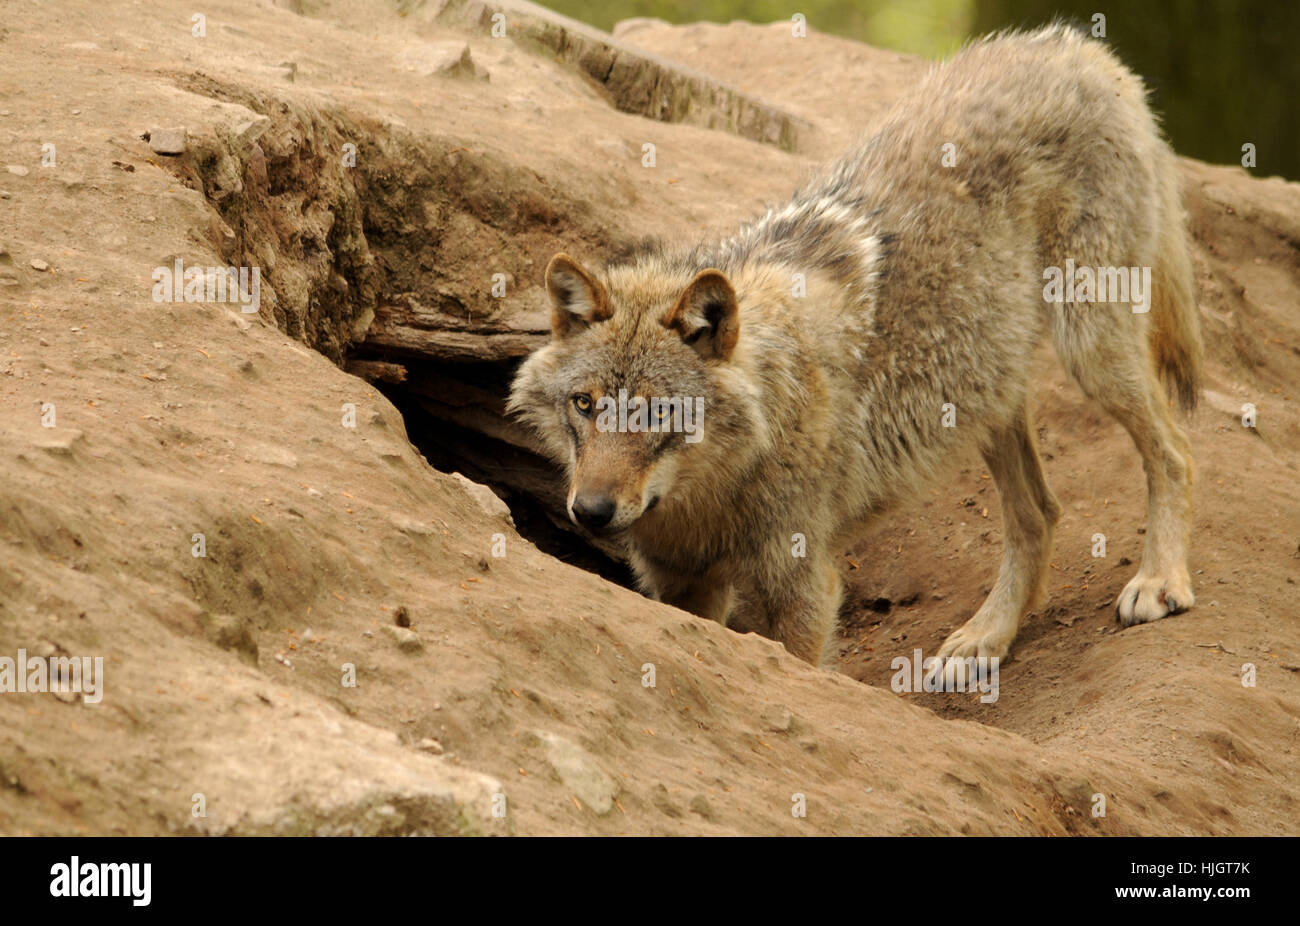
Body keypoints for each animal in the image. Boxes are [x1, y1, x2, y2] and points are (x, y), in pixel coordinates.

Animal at [509, 25, 1206, 665]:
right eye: (584, 405)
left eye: (660, 411)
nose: (591, 511)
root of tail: (1076, 47)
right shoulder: (680, 585)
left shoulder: (804, 584)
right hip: (986, 389)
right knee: (1041, 513)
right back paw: (986, 640)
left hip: (1089, 347)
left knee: (1175, 451)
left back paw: (1159, 581)